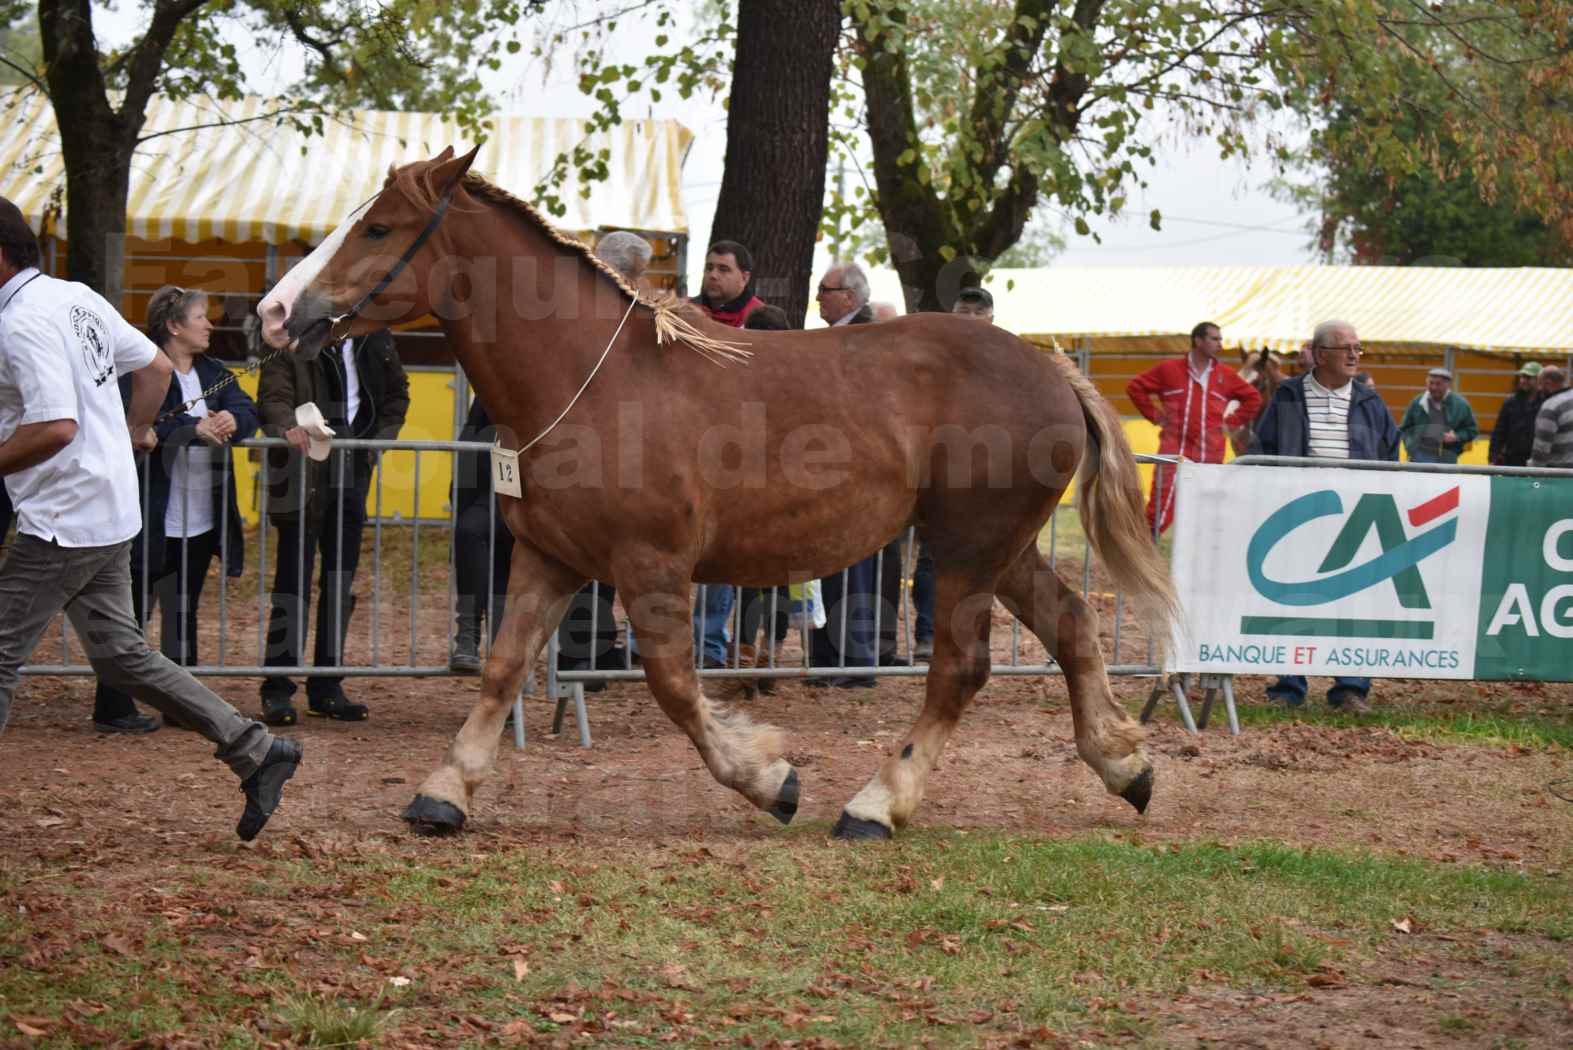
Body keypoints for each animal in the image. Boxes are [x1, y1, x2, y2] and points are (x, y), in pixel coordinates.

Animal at [257, 147, 1176, 842]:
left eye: (378, 227)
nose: (272, 312)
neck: (593, 378)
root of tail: (1052, 370)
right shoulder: (551, 557)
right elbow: (503, 666)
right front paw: (444, 791)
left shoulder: (650, 566)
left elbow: (672, 684)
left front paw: (771, 779)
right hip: (997, 550)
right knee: (1072, 625)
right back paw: (1124, 766)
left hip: (966, 553)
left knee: (959, 668)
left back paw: (875, 805)